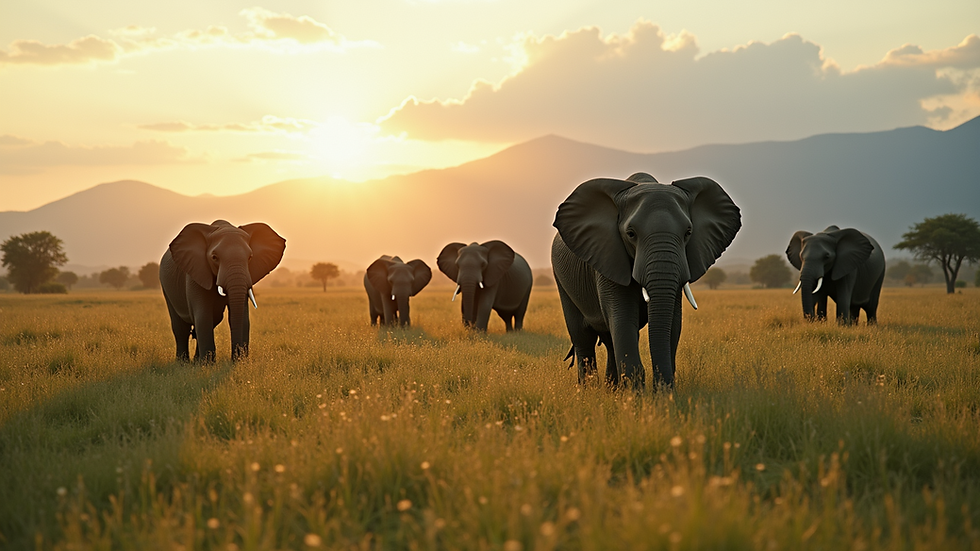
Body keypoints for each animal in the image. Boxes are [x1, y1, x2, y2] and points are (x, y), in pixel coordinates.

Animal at [159, 220, 285, 362]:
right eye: (214, 257)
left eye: (250, 257)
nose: (236, 358)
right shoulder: (196, 273)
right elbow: (203, 316)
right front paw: (208, 364)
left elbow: (242, 316)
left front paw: (238, 362)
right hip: (165, 286)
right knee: (181, 328)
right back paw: (183, 363)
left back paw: (196, 362)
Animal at [552, 173, 741, 389]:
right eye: (631, 234)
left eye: (688, 233)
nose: (660, 387)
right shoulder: (609, 257)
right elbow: (623, 317)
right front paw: (636, 395)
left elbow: (673, 321)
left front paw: (663, 394)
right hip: (561, 280)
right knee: (583, 337)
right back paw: (587, 390)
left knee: (609, 340)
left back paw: (611, 390)